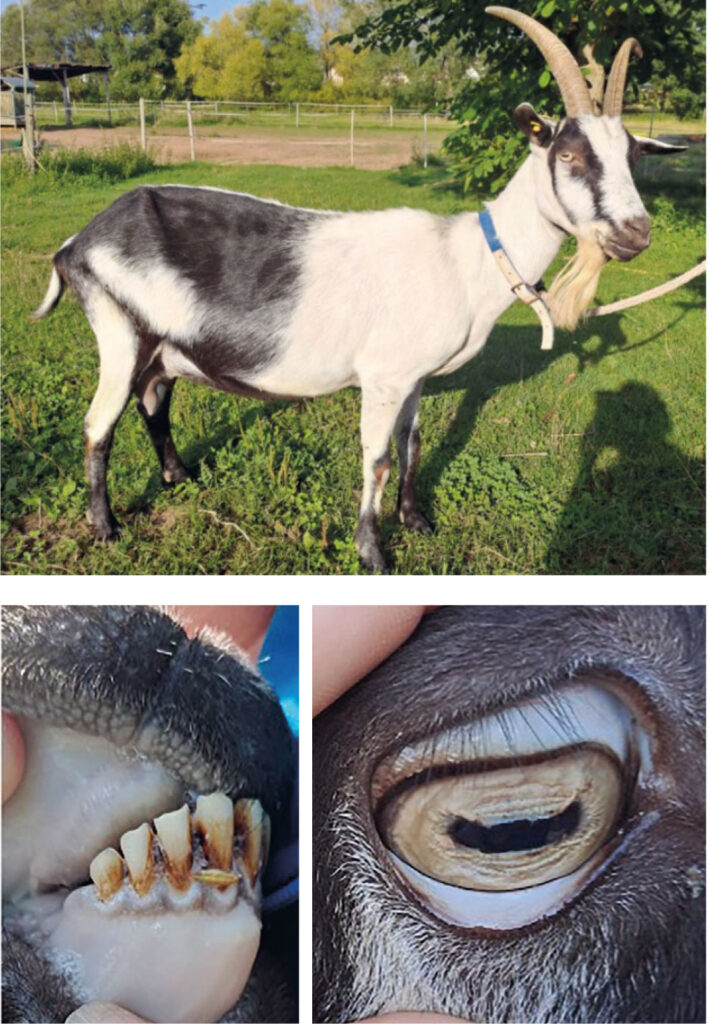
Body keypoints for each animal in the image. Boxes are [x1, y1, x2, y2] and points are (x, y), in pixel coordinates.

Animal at [31, 7, 684, 570]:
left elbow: (413, 446)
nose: (635, 233)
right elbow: (377, 459)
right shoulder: (383, 376)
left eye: (632, 155)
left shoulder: (414, 377)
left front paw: (417, 521)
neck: (467, 260)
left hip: (162, 343)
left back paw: (180, 477)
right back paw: (107, 526)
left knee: (154, 400)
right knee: (98, 424)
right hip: (119, 331)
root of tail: (76, 244)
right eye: (568, 154)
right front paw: (373, 553)